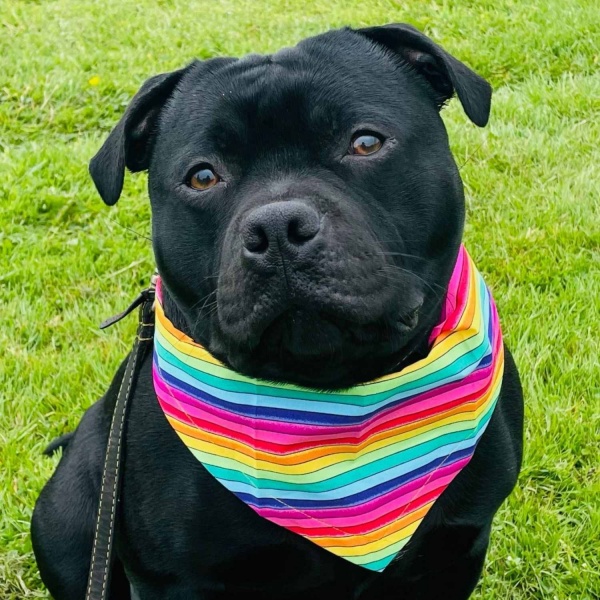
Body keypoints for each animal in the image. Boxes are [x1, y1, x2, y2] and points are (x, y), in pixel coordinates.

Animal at [30, 24, 524, 600]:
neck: (334, 402)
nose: (277, 228)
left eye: (366, 142)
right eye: (202, 177)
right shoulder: (176, 579)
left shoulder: (454, 550)